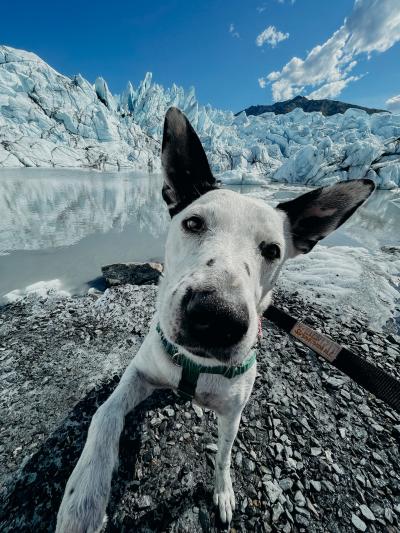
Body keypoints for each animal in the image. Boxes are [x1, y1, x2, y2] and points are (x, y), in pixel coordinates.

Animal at [56, 106, 376, 528]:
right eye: (193, 223)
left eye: (273, 251)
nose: (216, 317)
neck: (196, 364)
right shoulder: (139, 372)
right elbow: (104, 416)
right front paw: (84, 497)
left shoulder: (232, 412)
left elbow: (224, 455)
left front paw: (222, 493)